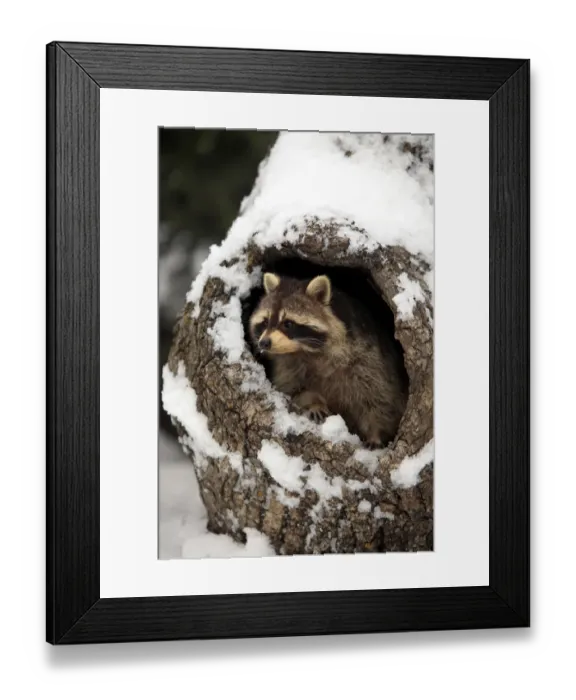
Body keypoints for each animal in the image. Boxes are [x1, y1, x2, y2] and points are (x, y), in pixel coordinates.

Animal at [248, 272, 409, 448]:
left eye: (288, 323)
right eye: (265, 322)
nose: (264, 343)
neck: (306, 351)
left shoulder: (369, 359)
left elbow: (381, 398)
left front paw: (376, 432)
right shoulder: (286, 364)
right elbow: (292, 389)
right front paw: (313, 401)